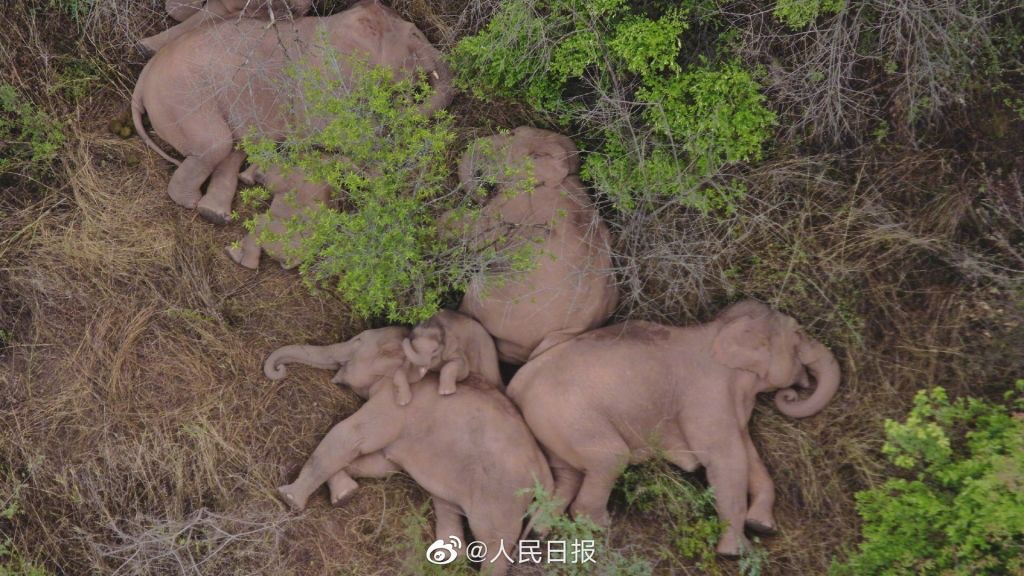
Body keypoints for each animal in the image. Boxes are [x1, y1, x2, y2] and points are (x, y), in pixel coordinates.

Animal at [264, 327, 552, 576]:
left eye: (357, 342)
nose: (279, 369)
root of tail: (546, 473)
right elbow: (380, 464)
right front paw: (345, 494)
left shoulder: (395, 404)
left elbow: (350, 436)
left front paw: (289, 498)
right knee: (447, 504)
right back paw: (450, 558)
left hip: (502, 497)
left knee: (493, 541)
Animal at [506, 300, 841, 557]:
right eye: (798, 334)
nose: (792, 394)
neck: (719, 328)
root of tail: (517, 384)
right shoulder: (707, 395)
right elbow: (726, 459)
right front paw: (737, 553)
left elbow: (749, 455)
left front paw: (762, 526)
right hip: (567, 414)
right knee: (610, 458)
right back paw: (599, 527)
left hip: (553, 426)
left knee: (568, 475)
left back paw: (541, 533)